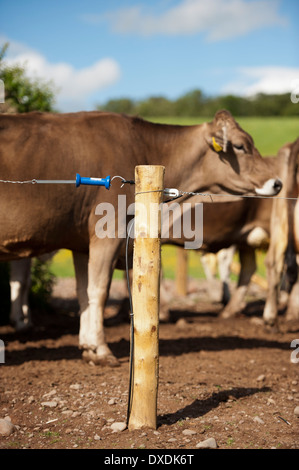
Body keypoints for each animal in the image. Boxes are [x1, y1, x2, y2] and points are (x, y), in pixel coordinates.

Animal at [0, 111, 282, 368]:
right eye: (240, 145)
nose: (277, 183)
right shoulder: (106, 232)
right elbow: (98, 291)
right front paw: (101, 349)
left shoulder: (82, 242)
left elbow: (84, 293)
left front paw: (88, 347)